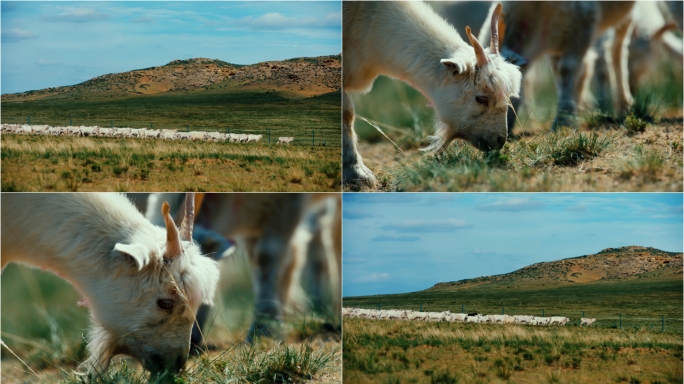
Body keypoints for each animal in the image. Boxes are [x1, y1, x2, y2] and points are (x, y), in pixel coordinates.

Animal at [480, 1, 636, 131]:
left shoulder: (583, 27)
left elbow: (567, 69)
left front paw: (564, 118)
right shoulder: (555, 42)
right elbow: (565, 74)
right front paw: (574, 110)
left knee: (617, 49)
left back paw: (624, 103)